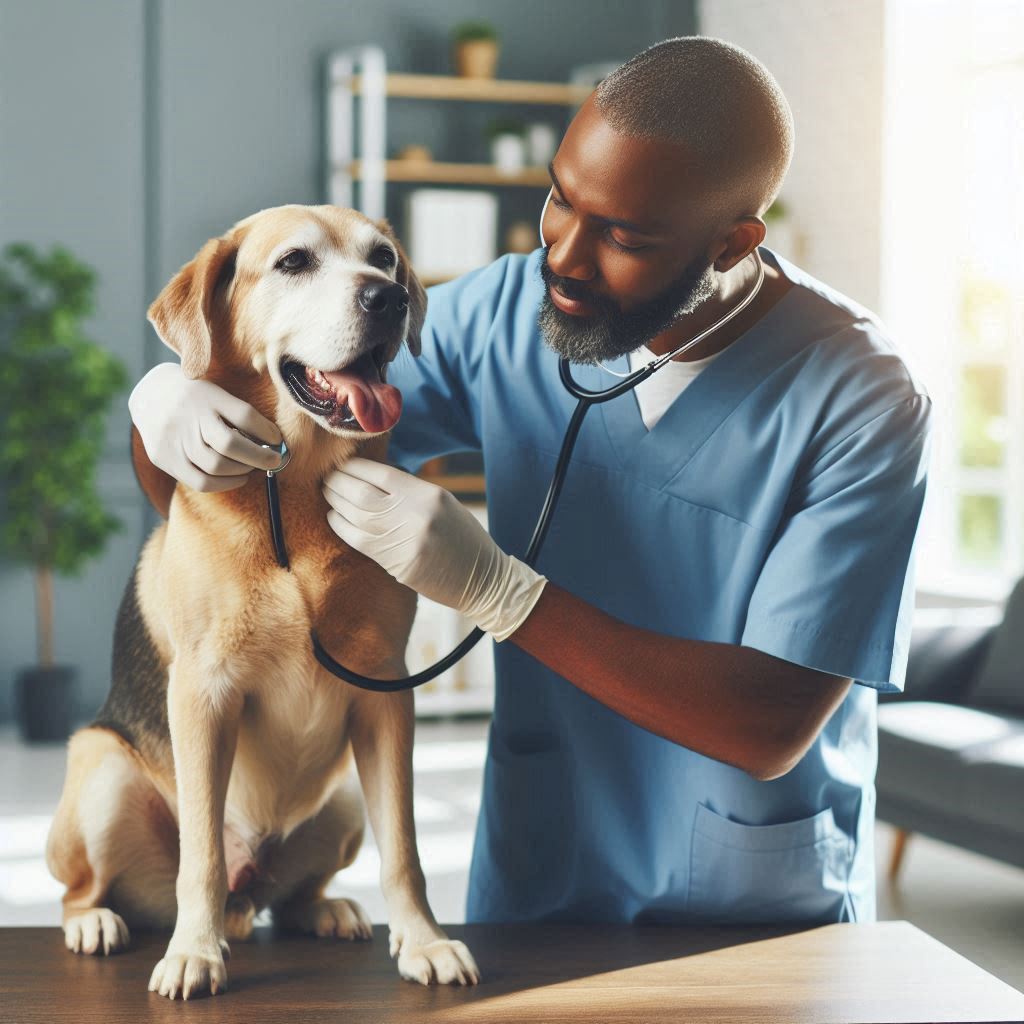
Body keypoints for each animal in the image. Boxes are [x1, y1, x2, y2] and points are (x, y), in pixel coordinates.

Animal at [41, 205, 481, 999]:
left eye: (384, 258)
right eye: (294, 262)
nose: (389, 299)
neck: (300, 490)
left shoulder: (386, 697)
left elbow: (405, 848)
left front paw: (424, 941)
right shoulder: (202, 696)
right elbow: (202, 857)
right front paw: (194, 951)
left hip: (343, 797)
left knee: (296, 893)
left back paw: (327, 909)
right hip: (104, 772)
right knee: (89, 887)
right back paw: (98, 923)